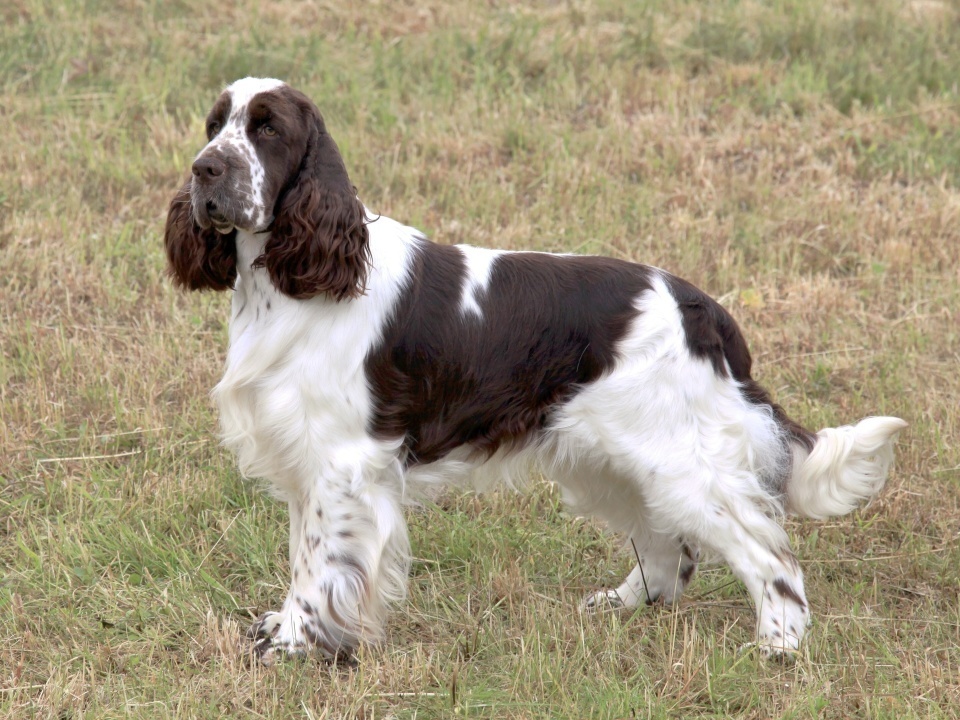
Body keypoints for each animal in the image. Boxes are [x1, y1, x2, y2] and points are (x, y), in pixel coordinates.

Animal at [165, 77, 908, 664]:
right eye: (213, 125)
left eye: (267, 129)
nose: (204, 171)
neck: (291, 280)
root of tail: (701, 310)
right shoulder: (306, 453)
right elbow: (304, 557)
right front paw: (287, 630)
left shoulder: (341, 461)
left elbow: (321, 564)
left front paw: (297, 645)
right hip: (610, 457)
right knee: (669, 549)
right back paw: (621, 602)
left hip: (678, 457)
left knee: (767, 551)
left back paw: (779, 644)